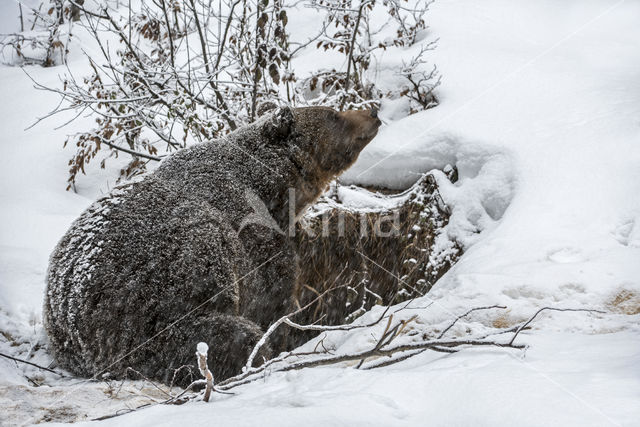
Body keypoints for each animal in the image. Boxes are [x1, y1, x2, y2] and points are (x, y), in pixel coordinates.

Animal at [43, 108, 380, 388]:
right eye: (333, 114)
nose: (373, 111)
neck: (274, 188)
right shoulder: (252, 238)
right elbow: (273, 298)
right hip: (153, 313)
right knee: (223, 337)